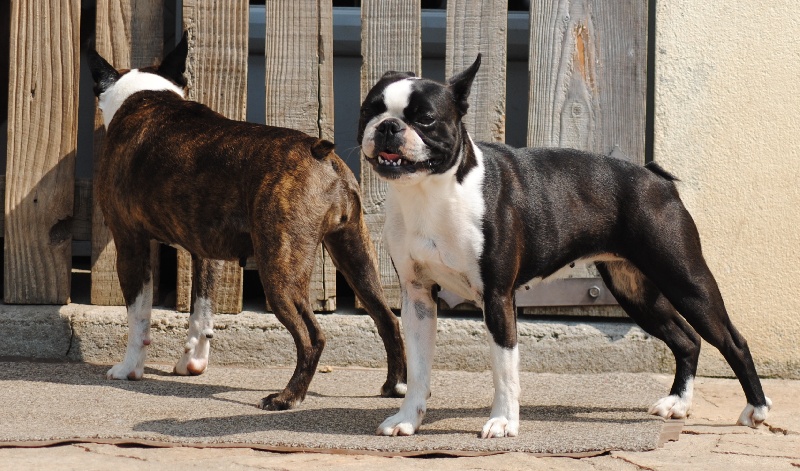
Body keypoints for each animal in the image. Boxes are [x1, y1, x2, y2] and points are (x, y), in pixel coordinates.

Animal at [360, 56, 772, 438]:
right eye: (369, 109)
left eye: (426, 119)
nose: (388, 126)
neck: (428, 193)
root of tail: (654, 177)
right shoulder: (417, 298)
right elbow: (418, 369)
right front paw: (406, 420)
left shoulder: (497, 297)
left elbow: (504, 369)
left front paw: (503, 422)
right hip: (635, 292)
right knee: (686, 340)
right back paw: (678, 403)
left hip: (685, 280)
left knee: (732, 341)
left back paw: (757, 408)